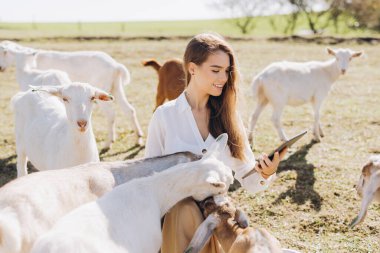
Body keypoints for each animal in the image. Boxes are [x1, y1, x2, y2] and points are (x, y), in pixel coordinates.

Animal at [0, 40, 144, 147]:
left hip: (102, 87)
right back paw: (138, 139)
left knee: (111, 114)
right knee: (129, 110)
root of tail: (116, 65)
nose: (1, 68)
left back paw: (108, 143)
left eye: (4, 52)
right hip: (115, 88)